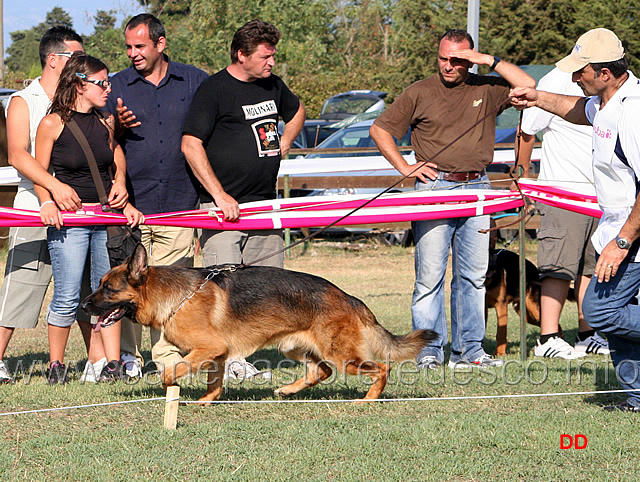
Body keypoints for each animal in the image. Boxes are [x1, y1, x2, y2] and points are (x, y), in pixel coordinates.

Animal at [81, 245, 436, 402]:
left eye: (108, 289)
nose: (84, 305)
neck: (176, 296)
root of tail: (348, 296)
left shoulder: (208, 348)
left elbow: (173, 370)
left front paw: (172, 389)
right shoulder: (217, 354)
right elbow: (214, 384)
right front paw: (206, 402)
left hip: (342, 355)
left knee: (381, 368)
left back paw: (370, 399)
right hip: (295, 346)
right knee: (319, 371)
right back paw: (287, 389)